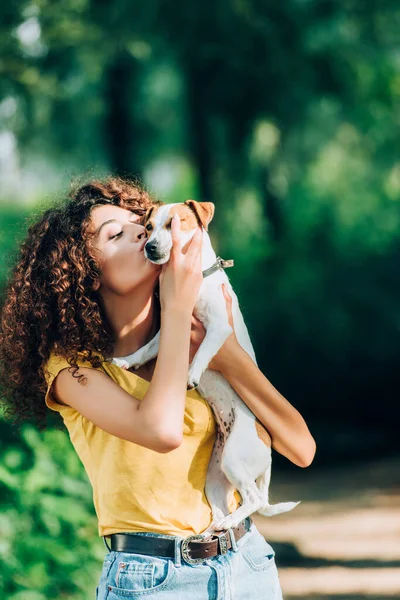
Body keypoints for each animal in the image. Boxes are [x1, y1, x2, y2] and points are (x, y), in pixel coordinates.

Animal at [111, 202, 298, 536]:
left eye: (175, 223)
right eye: (147, 227)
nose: (149, 247)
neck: (195, 281)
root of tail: (267, 452)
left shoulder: (218, 329)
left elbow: (203, 354)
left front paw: (191, 376)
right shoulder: (167, 333)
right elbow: (144, 349)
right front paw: (125, 360)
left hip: (234, 459)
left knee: (252, 500)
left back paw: (229, 522)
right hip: (215, 477)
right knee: (225, 504)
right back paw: (216, 525)